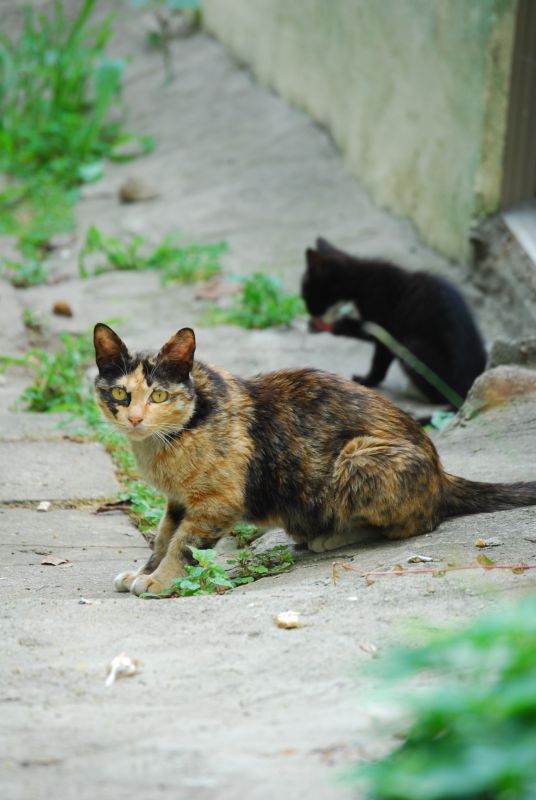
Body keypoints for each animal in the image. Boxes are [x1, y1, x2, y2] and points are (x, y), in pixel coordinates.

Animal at [94, 324, 536, 592]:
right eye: (119, 393)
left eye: (159, 395)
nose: (135, 418)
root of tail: (442, 474)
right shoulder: (178, 501)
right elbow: (162, 537)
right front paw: (145, 571)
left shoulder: (216, 503)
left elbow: (183, 546)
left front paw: (159, 581)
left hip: (358, 460)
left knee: (413, 525)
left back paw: (333, 535)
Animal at [302, 234, 486, 404]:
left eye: (305, 294)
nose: (309, 312)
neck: (358, 283)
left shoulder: (385, 328)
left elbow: (378, 359)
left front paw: (367, 380)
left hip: (412, 346)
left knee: (441, 398)